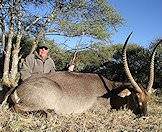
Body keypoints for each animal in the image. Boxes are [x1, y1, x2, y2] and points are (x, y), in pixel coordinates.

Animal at [9, 33, 161, 116]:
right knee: (18, 109)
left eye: (148, 98)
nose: (145, 115)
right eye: (136, 97)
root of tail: (17, 88)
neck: (112, 91)